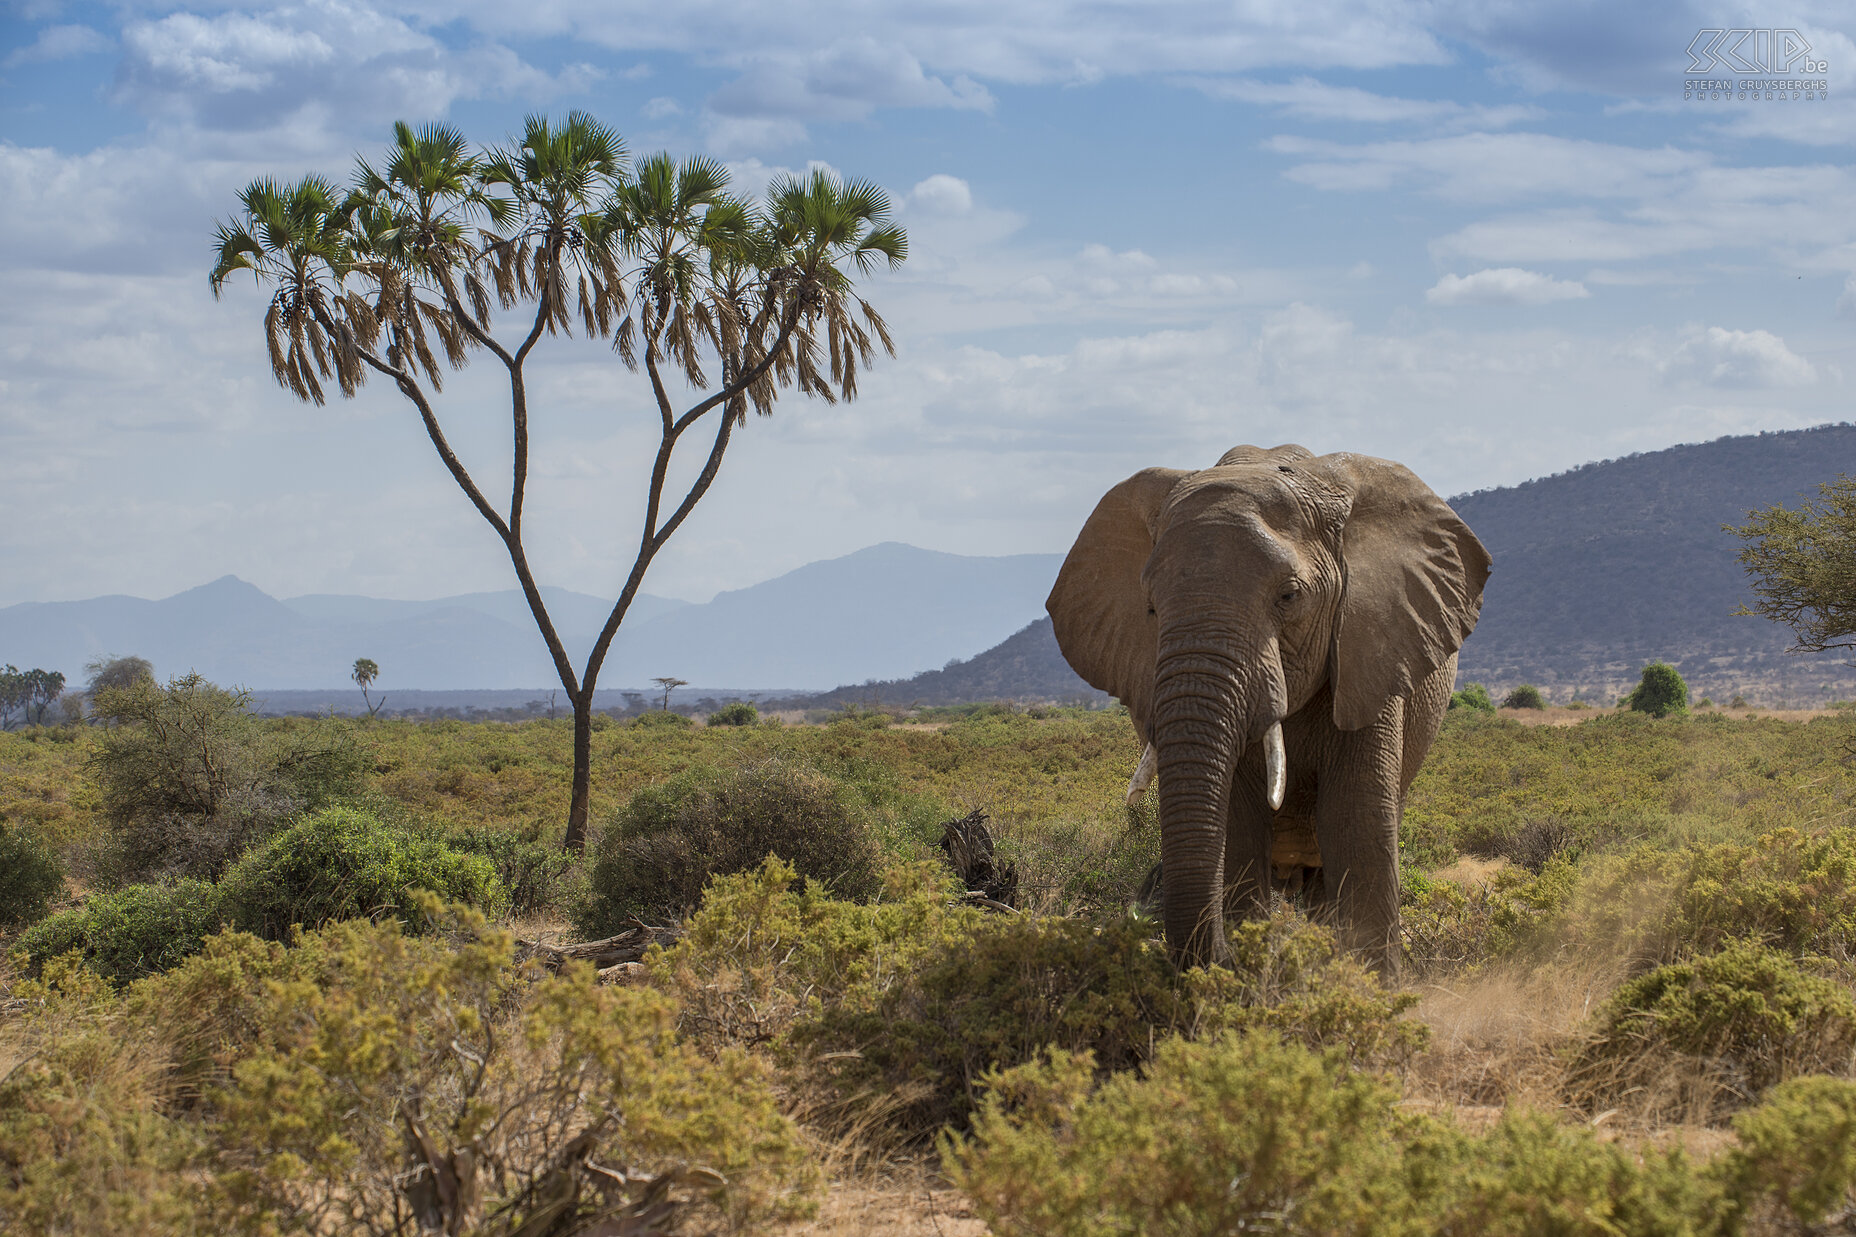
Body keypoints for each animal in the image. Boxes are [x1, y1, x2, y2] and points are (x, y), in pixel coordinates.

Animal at [1046, 443, 1492, 973]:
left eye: (1289, 596)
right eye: (1150, 608)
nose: (1222, 959)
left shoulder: (1373, 653)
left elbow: (1357, 828)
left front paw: (1370, 987)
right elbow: (1239, 830)